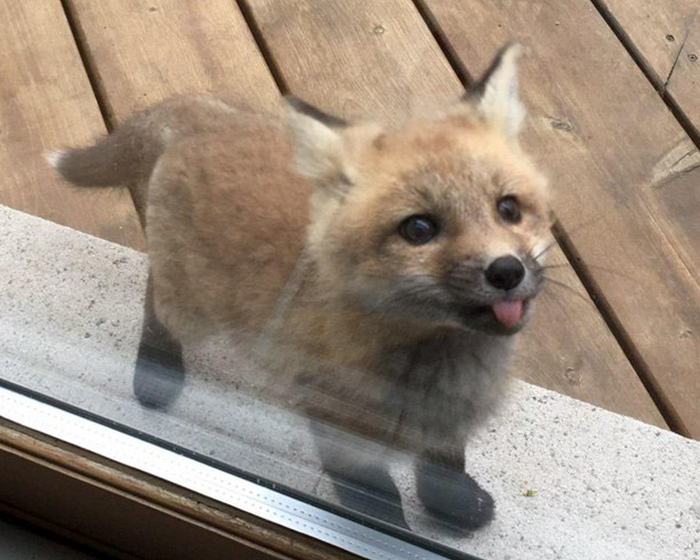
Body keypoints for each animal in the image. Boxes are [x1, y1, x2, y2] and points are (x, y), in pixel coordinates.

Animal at [49, 44, 552, 531]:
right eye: (419, 229)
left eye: (508, 208)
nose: (506, 271)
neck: (438, 366)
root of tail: (205, 116)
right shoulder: (336, 424)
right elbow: (378, 500)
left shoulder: (449, 421)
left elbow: (444, 465)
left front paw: (453, 505)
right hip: (192, 308)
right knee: (156, 301)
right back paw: (157, 370)